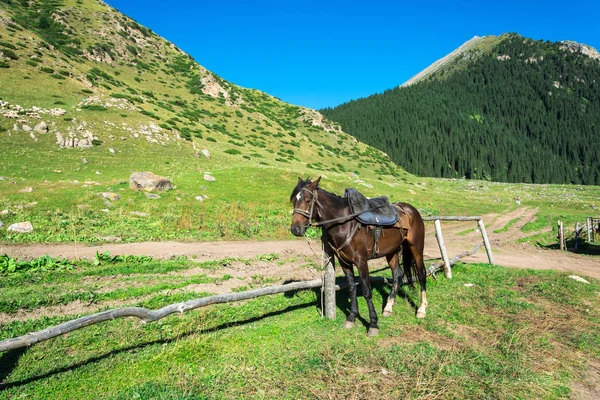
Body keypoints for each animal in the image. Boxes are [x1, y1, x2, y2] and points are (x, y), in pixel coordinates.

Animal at [290, 177, 426, 336]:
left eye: (308, 200)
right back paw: (388, 308)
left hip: (416, 247)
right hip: (392, 252)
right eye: (293, 200)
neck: (345, 223)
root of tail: (411, 210)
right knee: (398, 274)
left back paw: (422, 310)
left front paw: (373, 324)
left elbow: (367, 291)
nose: (295, 229)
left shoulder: (361, 262)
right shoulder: (345, 263)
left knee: (422, 274)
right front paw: (351, 318)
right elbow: (351, 288)